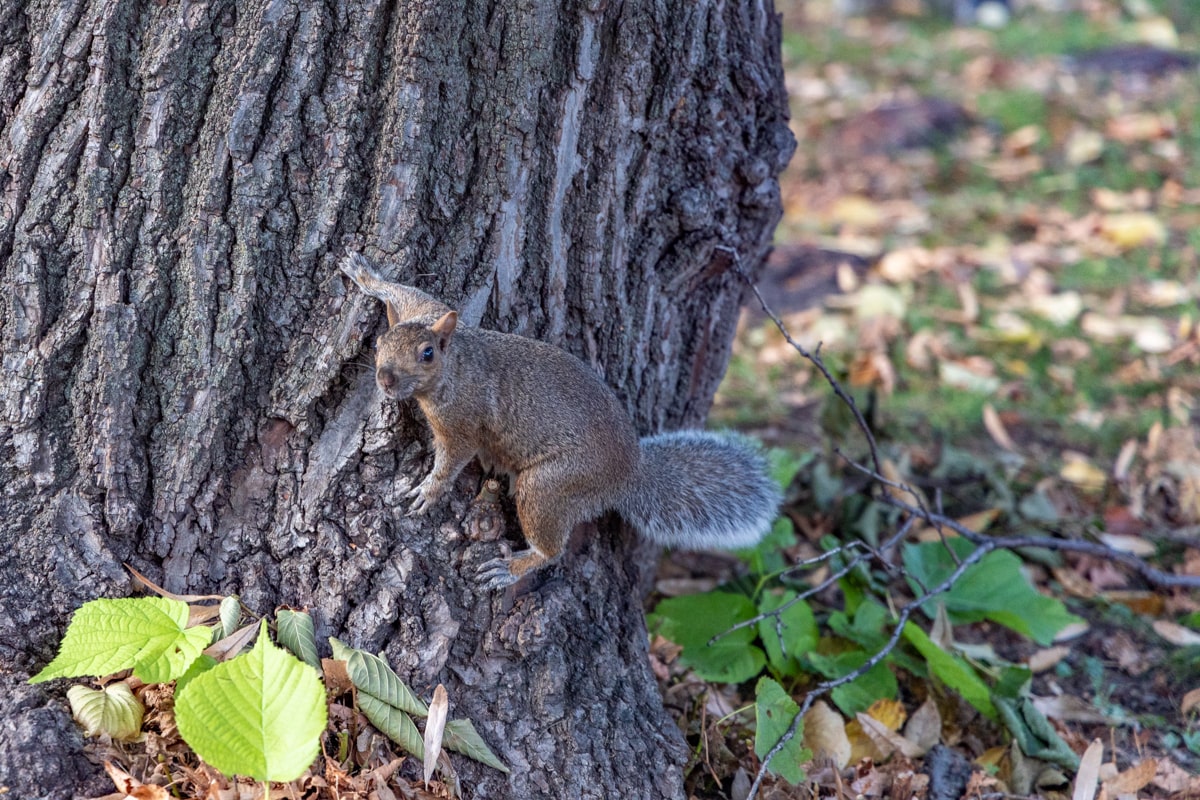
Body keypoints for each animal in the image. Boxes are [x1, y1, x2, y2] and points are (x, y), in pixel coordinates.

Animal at [343, 253, 782, 592]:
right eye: (379, 344)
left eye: (428, 354)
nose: (385, 379)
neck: (458, 364)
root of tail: (628, 472)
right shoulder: (427, 311)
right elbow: (409, 292)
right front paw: (366, 276)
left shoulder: (461, 420)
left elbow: (453, 458)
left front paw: (429, 491)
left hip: (551, 485)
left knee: (551, 549)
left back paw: (512, 567)